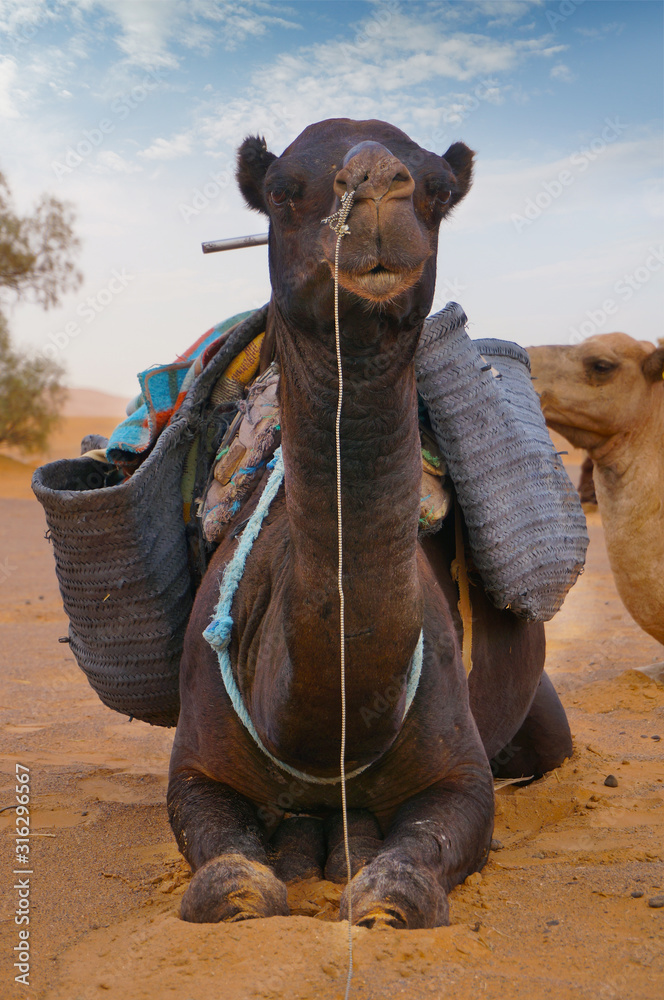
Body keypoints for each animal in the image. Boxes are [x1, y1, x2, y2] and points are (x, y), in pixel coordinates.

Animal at [167, 117, 572, 928]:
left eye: (438, 193)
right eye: (282, 191)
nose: (377, 180)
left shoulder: (461, 776)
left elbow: (411, 874)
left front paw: (380, 893)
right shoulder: (193, 766)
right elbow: (227, 870)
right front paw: (252, 886)